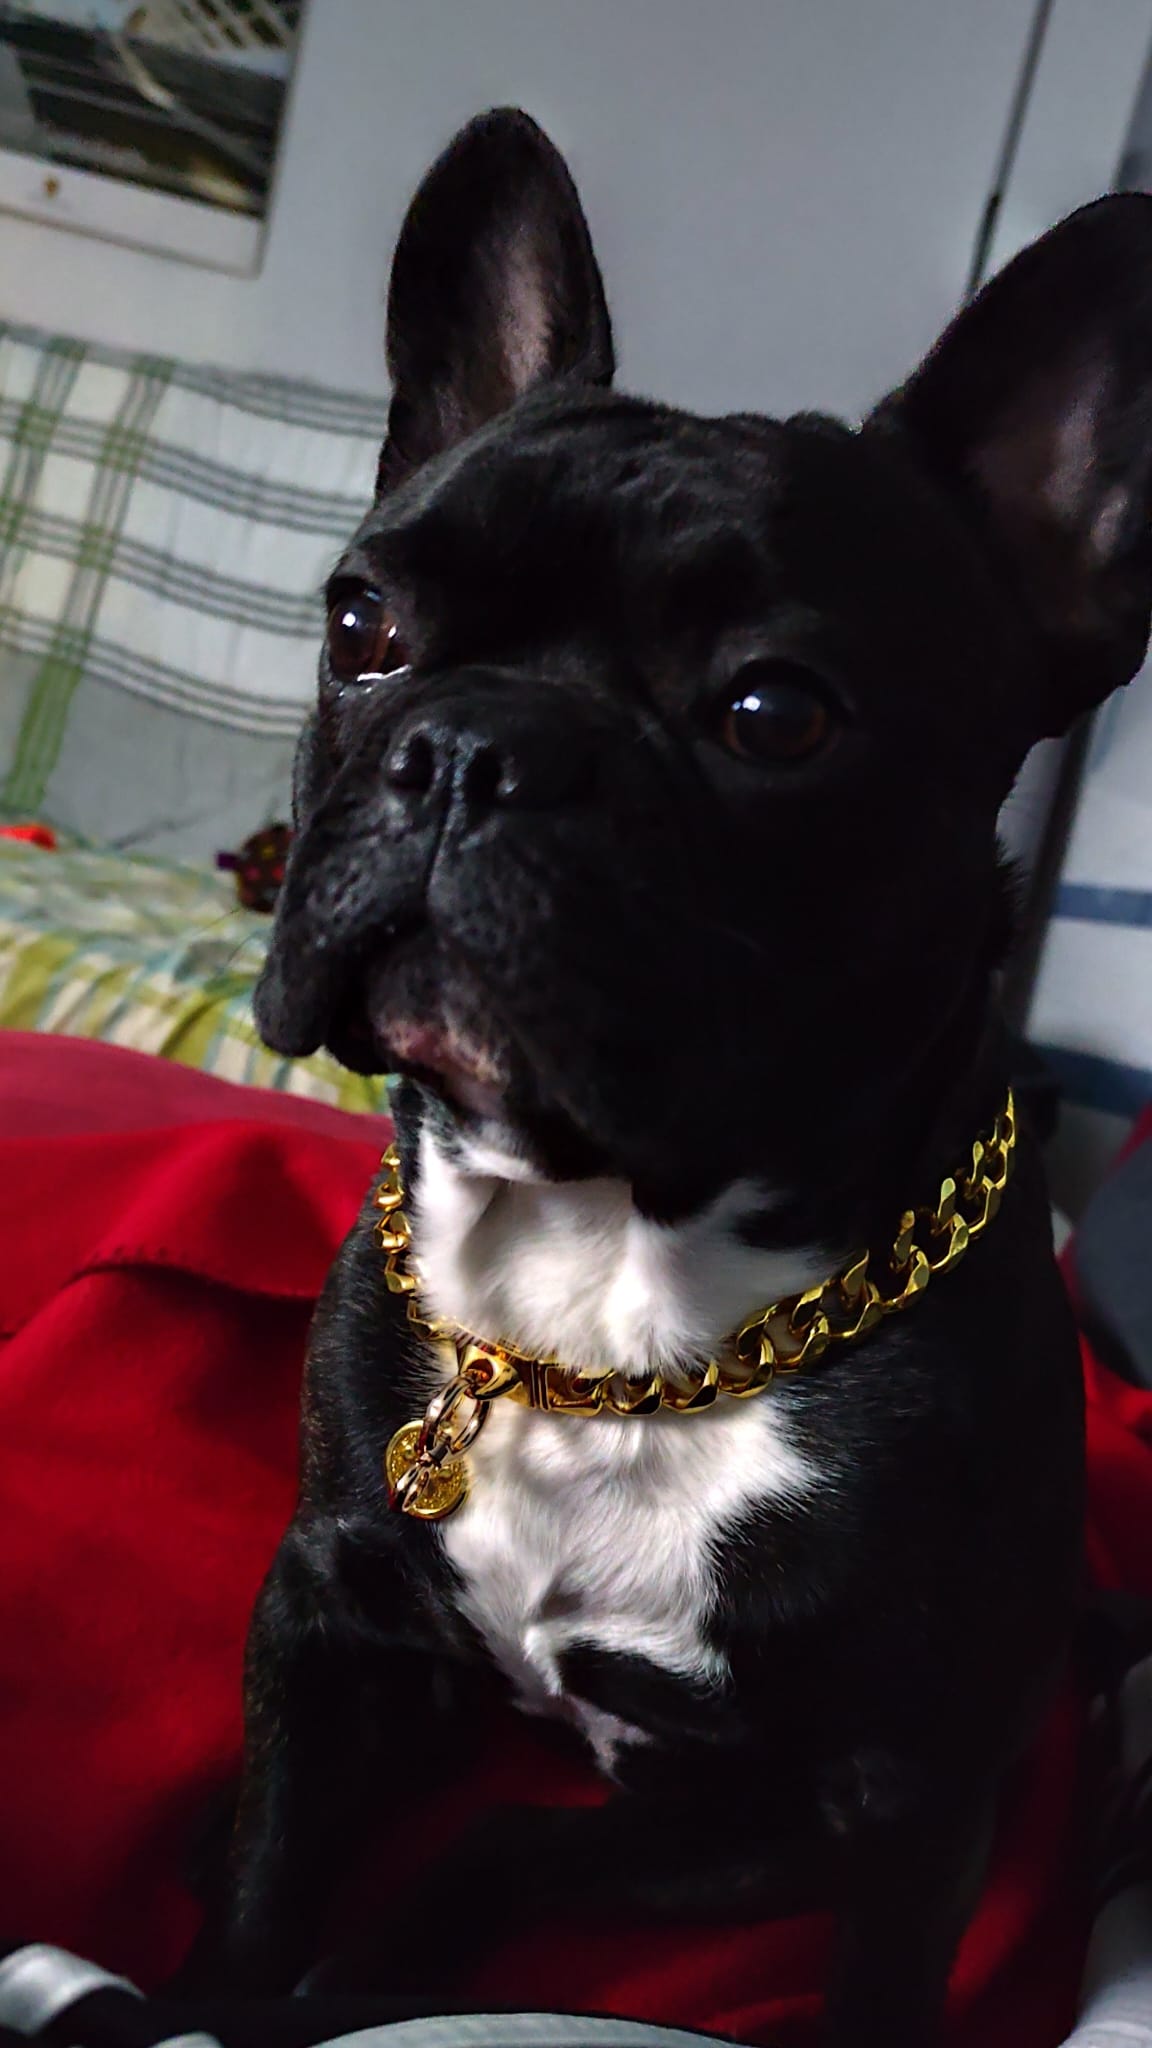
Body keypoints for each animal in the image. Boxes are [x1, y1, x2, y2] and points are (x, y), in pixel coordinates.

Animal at [200, 109, 1152, 2047]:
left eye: (775, 715)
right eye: (362, 624)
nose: (465, 750)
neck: (613, 1309)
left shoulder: (899, 1805)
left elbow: (866, 1982)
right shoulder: (325, 1618)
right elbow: (270, 1887)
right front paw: (229, 1976)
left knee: (507, 1853)